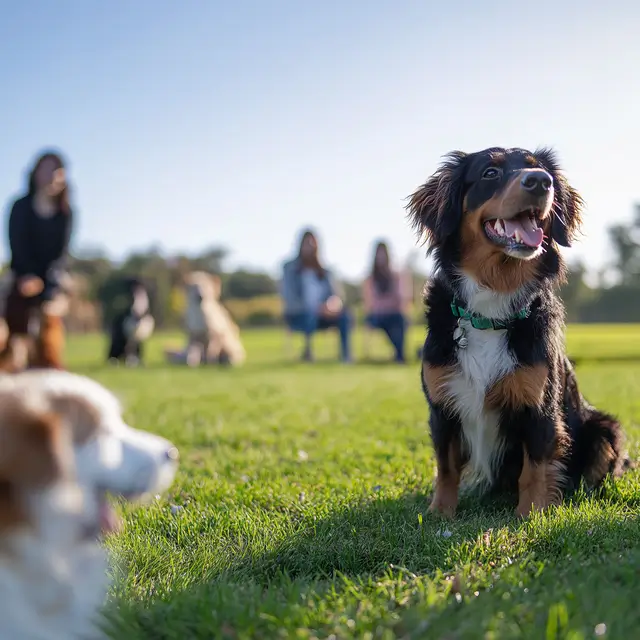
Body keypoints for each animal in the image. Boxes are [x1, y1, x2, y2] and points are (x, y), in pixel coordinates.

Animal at [408, 148, 628, 516]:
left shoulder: (539, 407)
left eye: (537, 168)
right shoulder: (442, 407)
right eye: (490, 173)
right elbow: (446, 466)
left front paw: (532, 515)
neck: (492, 305)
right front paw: (440, 512)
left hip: (605, 429)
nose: (541, 181)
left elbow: (534, 469)